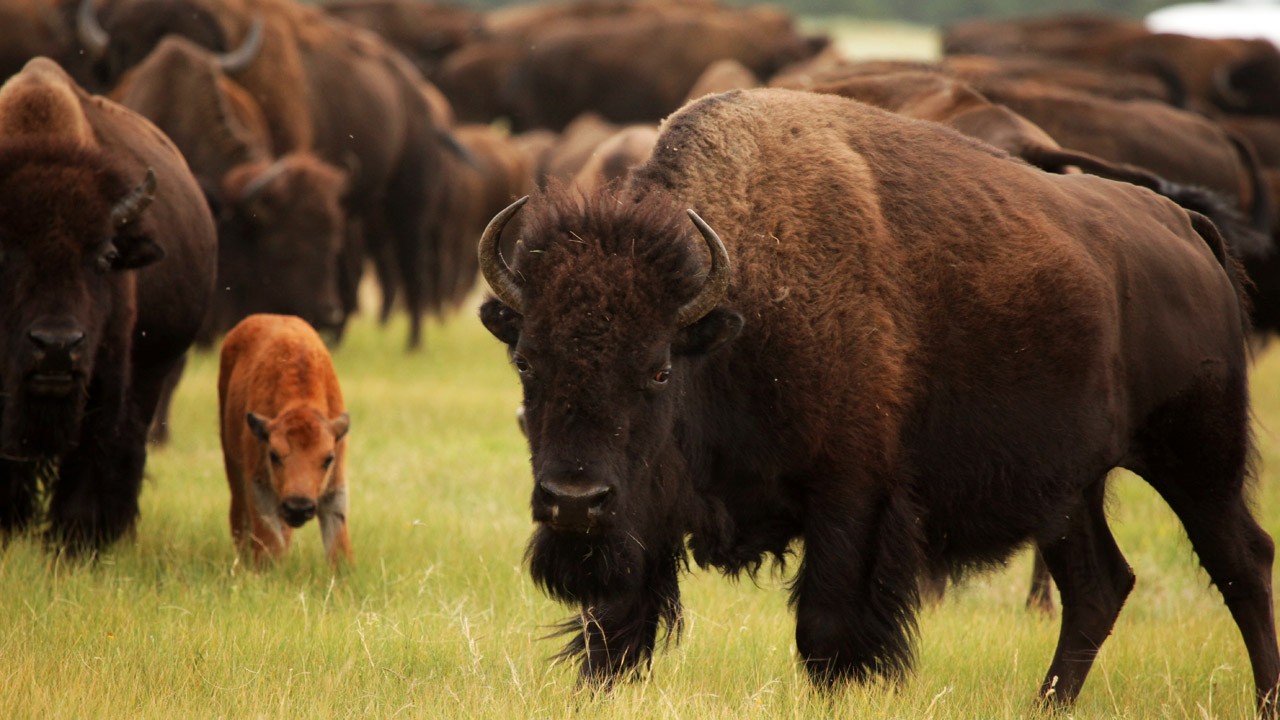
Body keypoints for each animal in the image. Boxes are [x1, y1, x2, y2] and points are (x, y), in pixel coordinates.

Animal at [0, 58, 216, 550]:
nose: (57, 346)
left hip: (153, 370)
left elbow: (94, 453)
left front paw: (76, 543)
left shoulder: (107, 378)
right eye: (2, 251)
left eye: (104, 255)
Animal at [217, 311, 353, 563]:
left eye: (328, 458)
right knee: (239, 516)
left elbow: (339, 548)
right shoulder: (258, 484)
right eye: (274, 455)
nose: (298, 507)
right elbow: (270, 542)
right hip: (232, 461)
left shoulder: (335, 488)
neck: (301, 401)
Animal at [478, 87, 1280, 707]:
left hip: (1197, 457)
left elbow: (826, 630)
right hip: (1069, 489)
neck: (738, 313)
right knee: (1097, 586)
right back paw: (1046, 704)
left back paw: (1264, 699)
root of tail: (1187, 227)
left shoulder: (852, 495)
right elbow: (615, 629)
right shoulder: (643, 517)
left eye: (658, 370)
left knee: (1241, 562)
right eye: (527, 361)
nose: (572, 501)